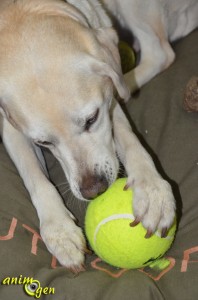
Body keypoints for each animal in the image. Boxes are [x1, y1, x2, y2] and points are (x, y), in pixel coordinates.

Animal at [0, 0, 196, 272]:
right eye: (43, 141)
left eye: (91, 118)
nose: (94, 190)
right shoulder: (9, 126)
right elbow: (35, 177)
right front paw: (59, 230)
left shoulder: (107, 99)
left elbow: (129, 138)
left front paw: (152, 190)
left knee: (160, 52)